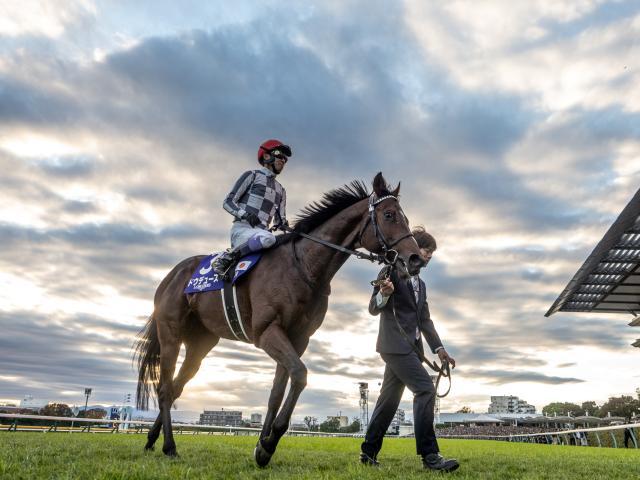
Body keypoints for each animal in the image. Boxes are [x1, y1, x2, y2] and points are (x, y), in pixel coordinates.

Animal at [134, 172, 424, 464]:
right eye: (389, 215)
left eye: (406, 217)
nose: (415, 259)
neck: (304, 267)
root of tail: (173, 274)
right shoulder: (267, 331)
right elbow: (300, 374)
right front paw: (270, 442)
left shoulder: (298, 337)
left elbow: (277, 392)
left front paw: (262, 446)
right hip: (170, 333)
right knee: (165, 388)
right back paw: (169, 446)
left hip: (201, 343)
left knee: (176, 387)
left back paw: (151, 440)